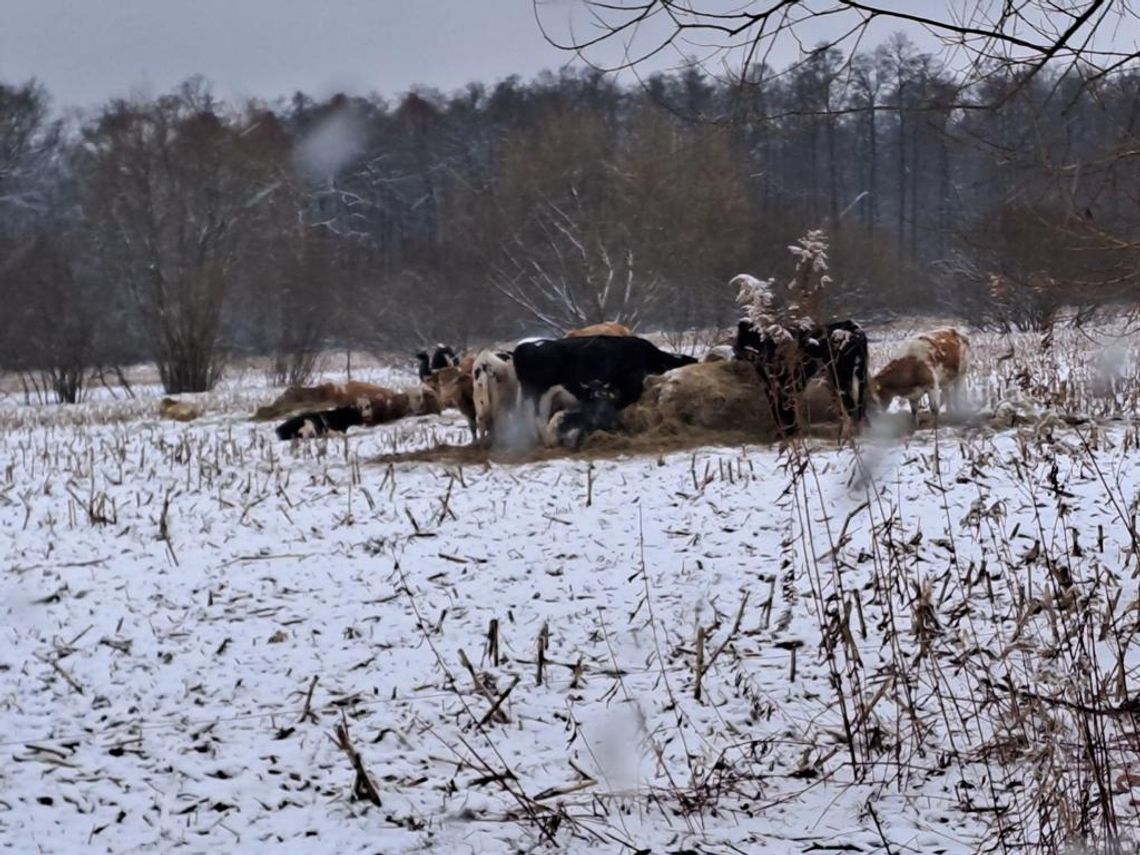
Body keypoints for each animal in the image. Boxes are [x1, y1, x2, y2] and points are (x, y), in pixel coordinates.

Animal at [734, 319, 866, 435]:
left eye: (745, 339)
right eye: (740, 340)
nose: (736, 353)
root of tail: (851, 326)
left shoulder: (789, 385)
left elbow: (785, 410)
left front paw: (789, 432)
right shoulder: (772, 389)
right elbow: (778, 410)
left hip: (840, 379)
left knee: (850, 406)